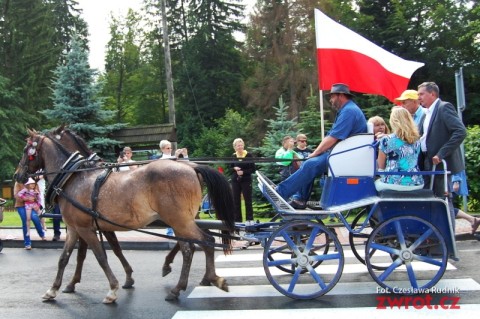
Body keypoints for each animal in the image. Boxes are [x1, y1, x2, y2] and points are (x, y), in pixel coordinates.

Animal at [15, 129, 237, 304]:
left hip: (179, 220)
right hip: (182, 220)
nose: (17, 175)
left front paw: (112, 289)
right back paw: (195, 280)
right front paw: (53, 289)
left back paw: (195, 283)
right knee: (195, 244)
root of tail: (191, 167)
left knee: (202, 242)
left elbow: (100, 256)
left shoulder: (86, 228)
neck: (74, 176)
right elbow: (65, 258)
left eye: (27, 151)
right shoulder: (76, 228)